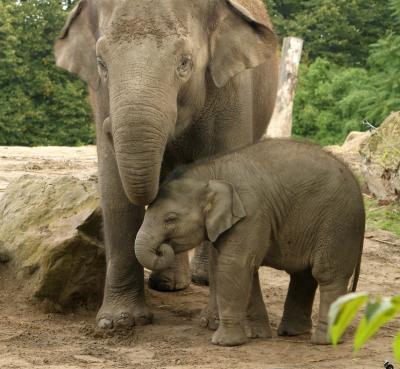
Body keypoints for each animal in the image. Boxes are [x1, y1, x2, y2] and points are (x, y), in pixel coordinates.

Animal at [54, 0, 278, 328]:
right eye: (101, 63)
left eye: (184, 62)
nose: (107, 127)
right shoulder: (101, 96)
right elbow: (115, 190)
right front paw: (118, 322)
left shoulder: (233, 92)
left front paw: (217, 323)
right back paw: (168, 285)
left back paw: (199, 280)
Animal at [135, 138, 366, 344]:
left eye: (170, 218)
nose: (162, 248)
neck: (212, 171)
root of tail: (358, 186)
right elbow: (243, 268)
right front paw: (256, 335)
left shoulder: (251, 213)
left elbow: (235, 265)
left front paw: (224, 342)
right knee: (304, 275)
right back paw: (292, 332)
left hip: (338, 224)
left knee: (327, 275)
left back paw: (323, 341)